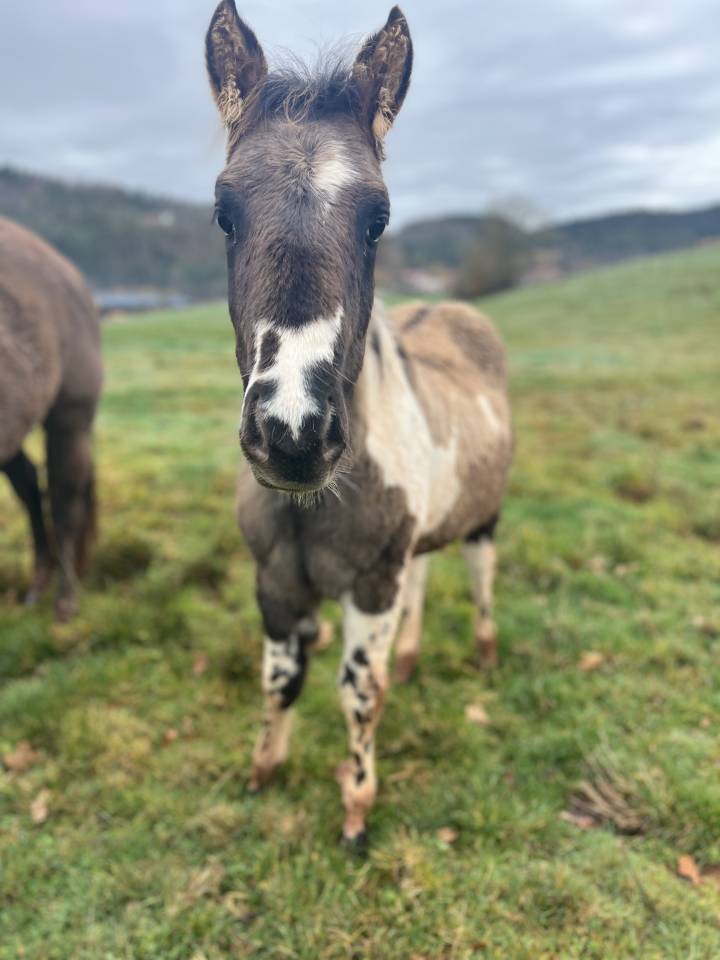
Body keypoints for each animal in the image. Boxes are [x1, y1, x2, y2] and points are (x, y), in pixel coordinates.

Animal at [206, 2, 513, 846]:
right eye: (223, 212)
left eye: (378, 217)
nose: (294, 434)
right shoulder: (276, 583)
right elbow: (281, 681)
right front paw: (263, 771)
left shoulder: (371, 585)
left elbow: (357, 694)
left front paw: (356, 806)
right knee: (427, 576)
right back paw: (411, 657)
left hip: (484, 519)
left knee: (479, 577)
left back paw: (482, 654)